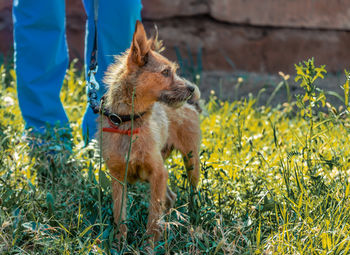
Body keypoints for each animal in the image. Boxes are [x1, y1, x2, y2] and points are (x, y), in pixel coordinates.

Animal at [100, 20, 201, 242]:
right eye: (165, 72)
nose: (191, 88)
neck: (129, 122)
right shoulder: (118, 178)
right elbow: (120, 215)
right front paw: (120, 243)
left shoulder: (158, 172)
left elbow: (153, 217)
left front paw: (150, 244)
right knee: (170, 197)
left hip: (191, 161)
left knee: (191, 192)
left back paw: (192, 216)